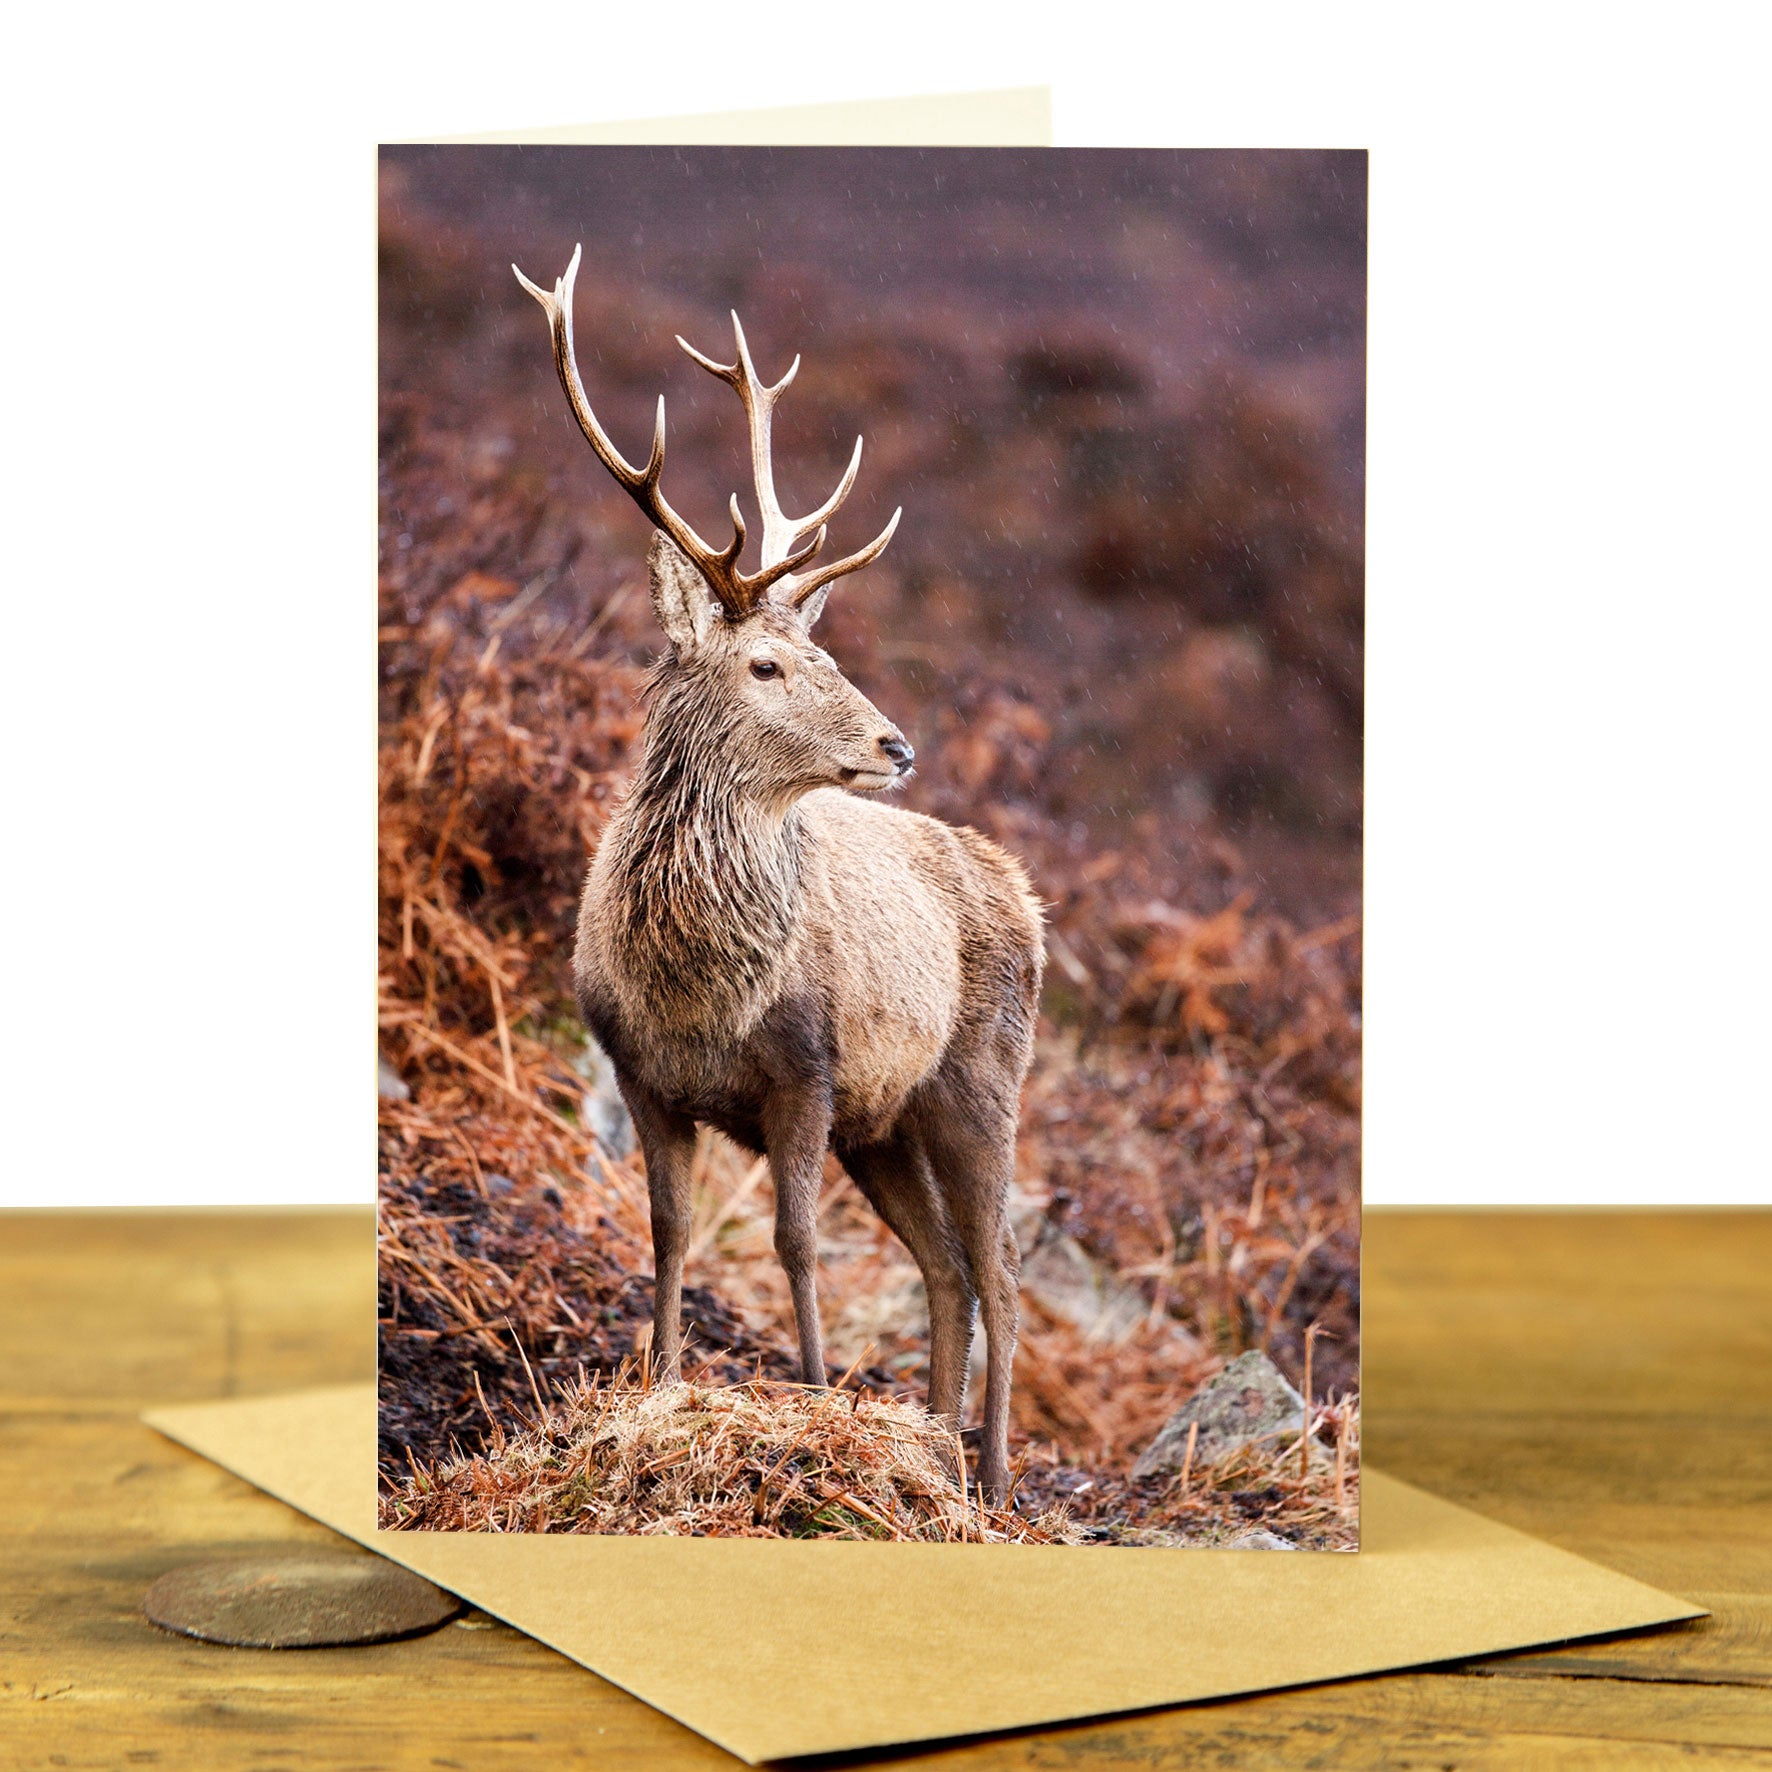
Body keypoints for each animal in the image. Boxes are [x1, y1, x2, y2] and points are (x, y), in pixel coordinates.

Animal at [513, 246, 1044, 1504]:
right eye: (764, 662)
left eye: (830, 651)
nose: (897, 743)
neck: (697, 986)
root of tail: (1028, 893)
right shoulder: (639, 1071)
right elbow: (667, 1231)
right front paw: (659, 1389)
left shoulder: (807, 1065)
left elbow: (792, 1241)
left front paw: (804, 1400)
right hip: (885, 1124)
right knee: (948, 1269)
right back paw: (935, 1444)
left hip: (978, 1078)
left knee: (1001, 1269)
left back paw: (995, 1476)